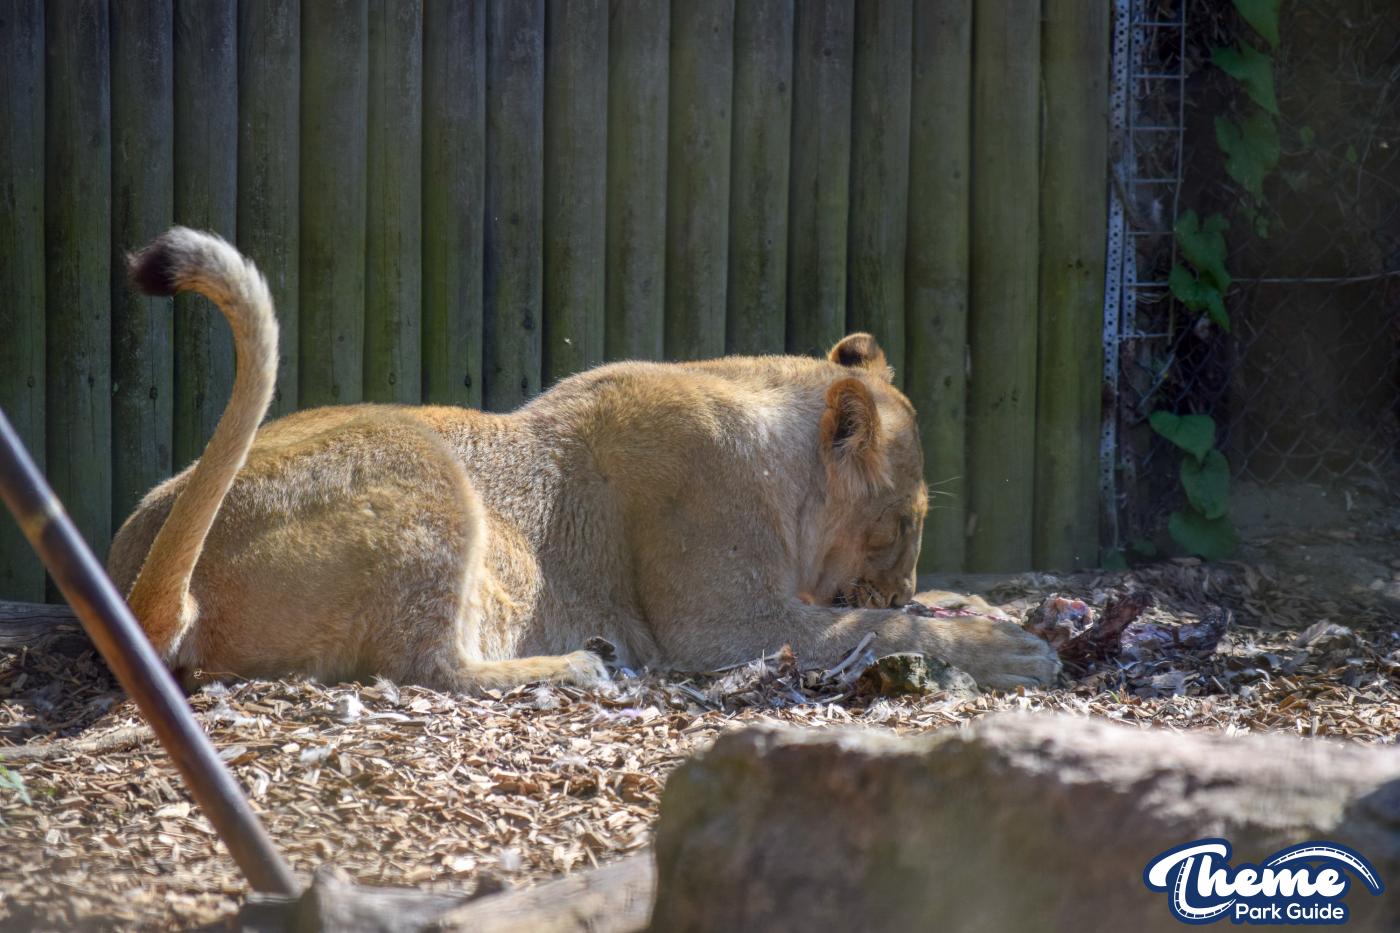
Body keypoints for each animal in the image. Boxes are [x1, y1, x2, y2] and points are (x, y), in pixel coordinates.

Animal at [108, 228, 1059, 693]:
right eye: (902, 523)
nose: (903, 581)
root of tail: (141, 583)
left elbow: (895, 617)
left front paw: (979, 608)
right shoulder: (725, 625)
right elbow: (875, 628)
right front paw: (1012, 649)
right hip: (427, 468)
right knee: (428, 667)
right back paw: (579, 664)